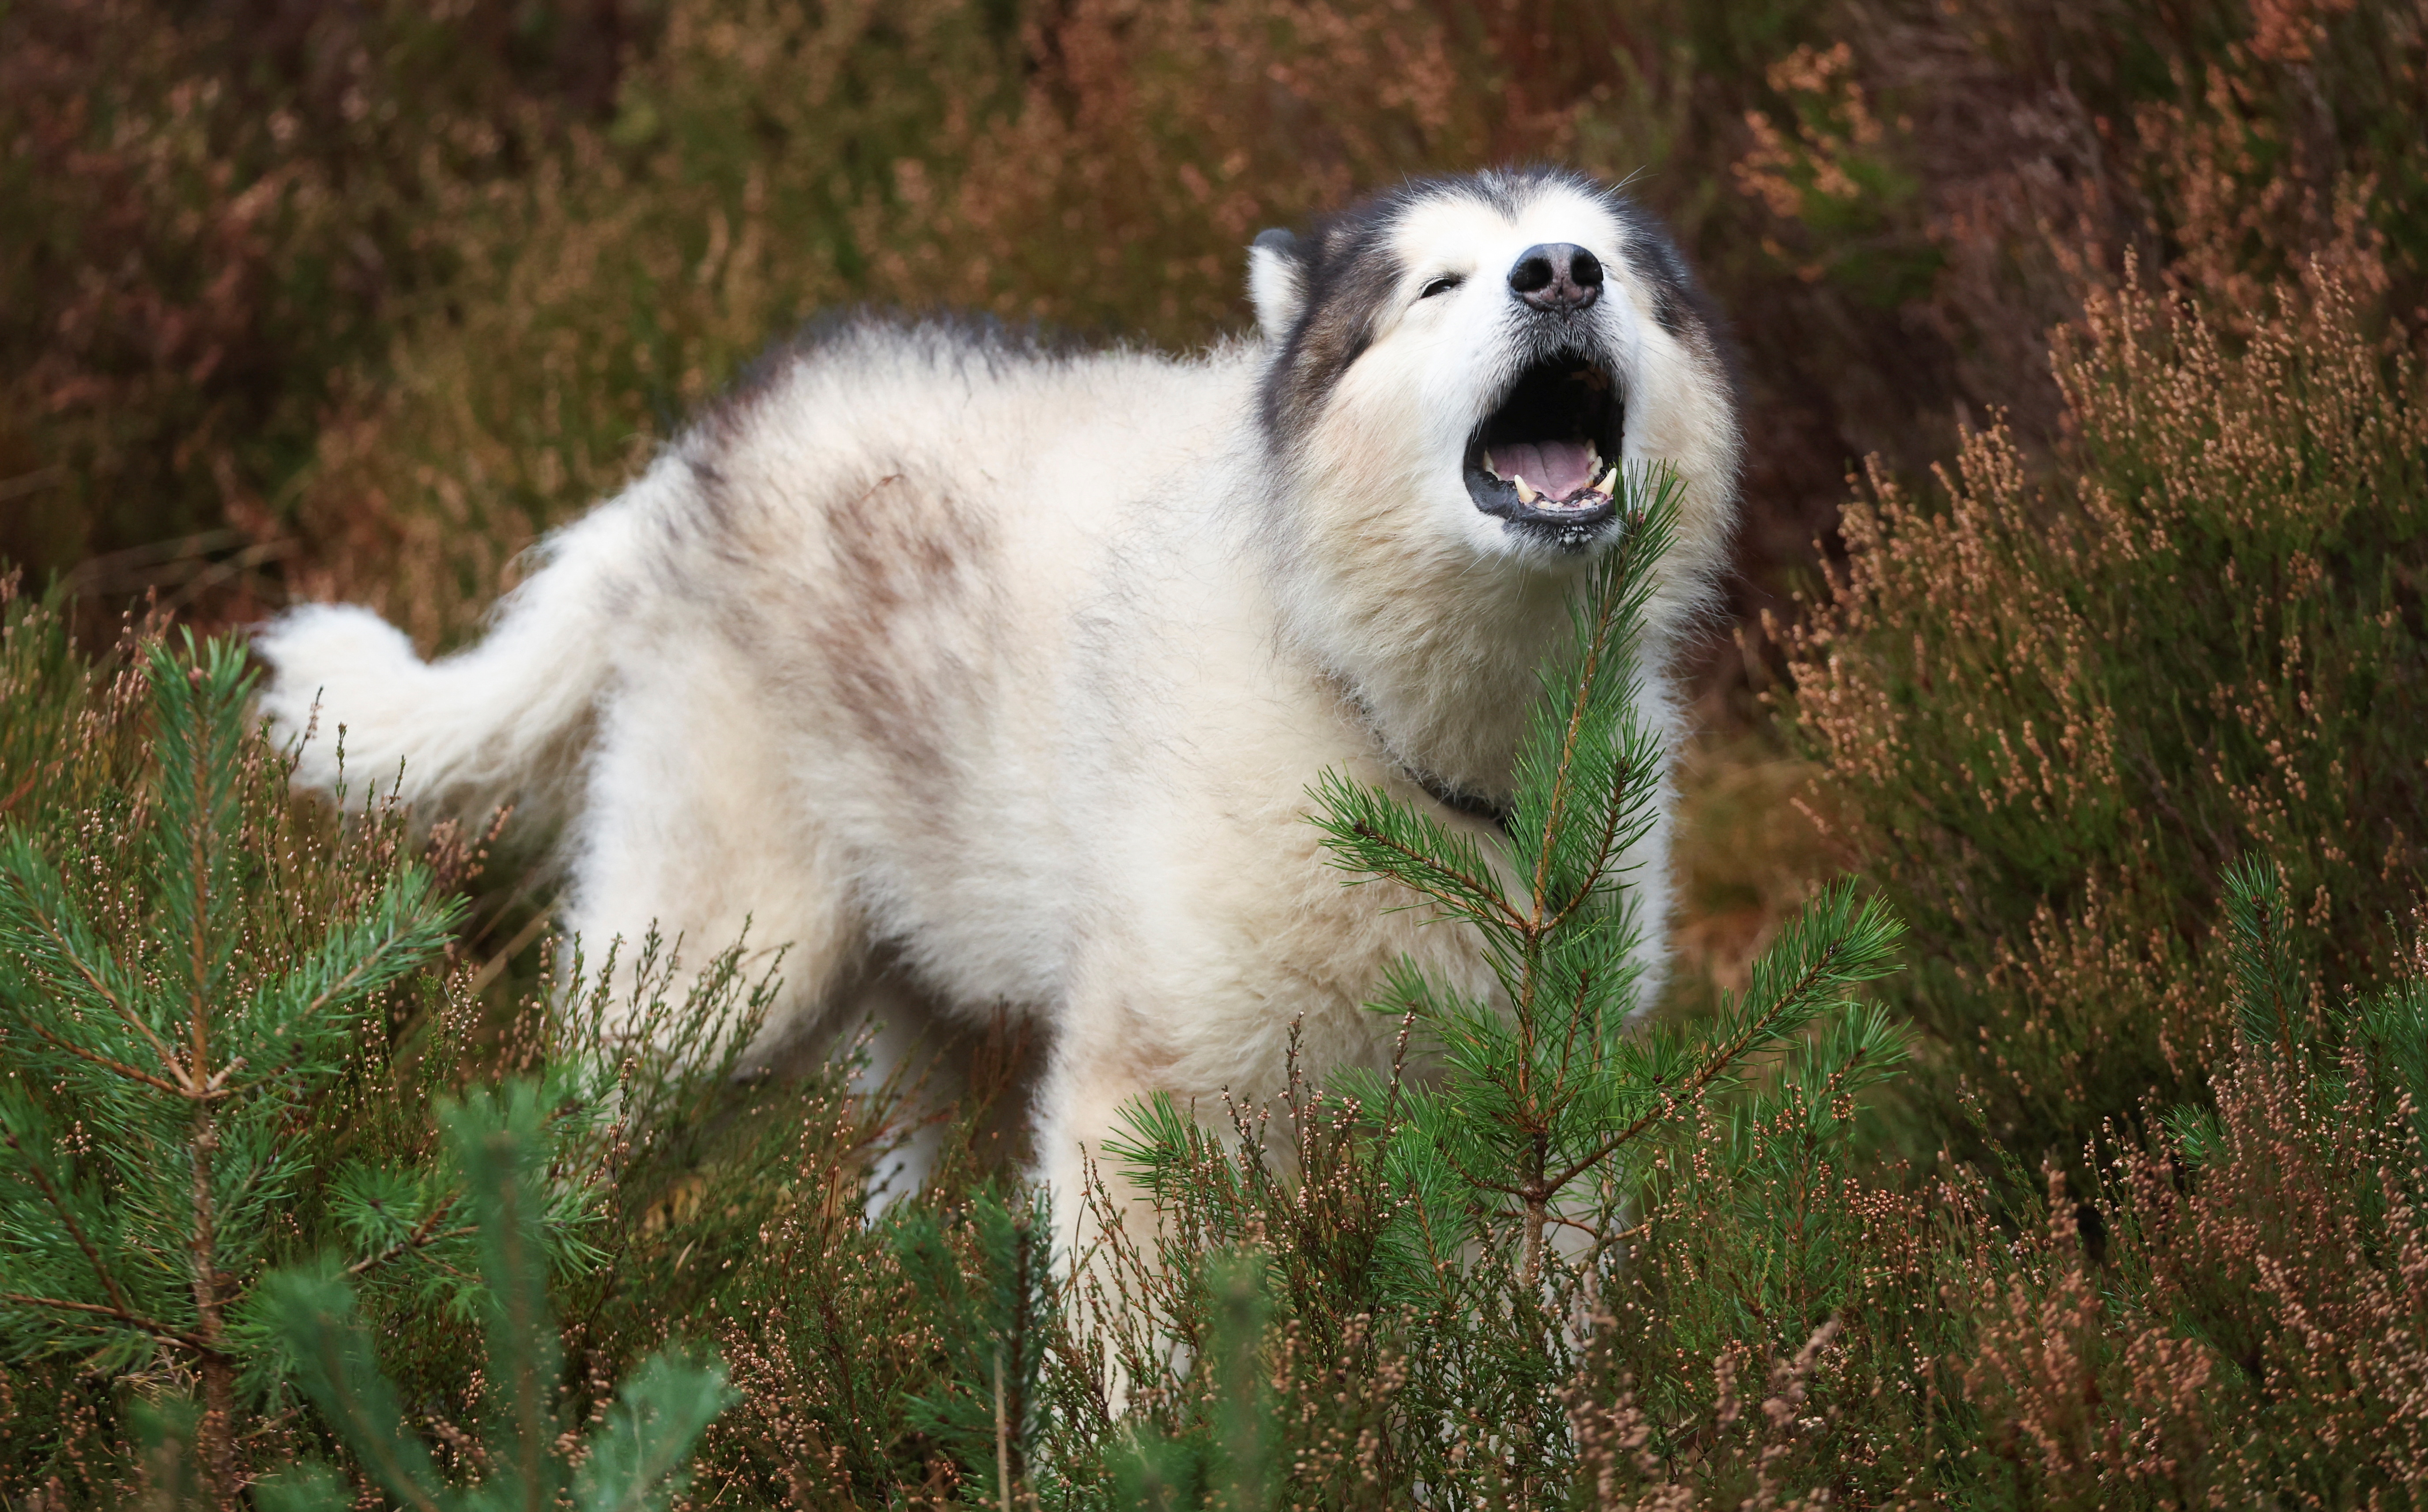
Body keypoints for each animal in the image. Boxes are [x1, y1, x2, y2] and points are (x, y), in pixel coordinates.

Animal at [256, 162, 1748, 1252]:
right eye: (1439, 284)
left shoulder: (1536, 1120)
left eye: (1604, 263)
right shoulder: (1135, 1108)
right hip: (706, 991)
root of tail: (702, 449)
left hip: (929, 1037)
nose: (1557, 275)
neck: (1402, 738)